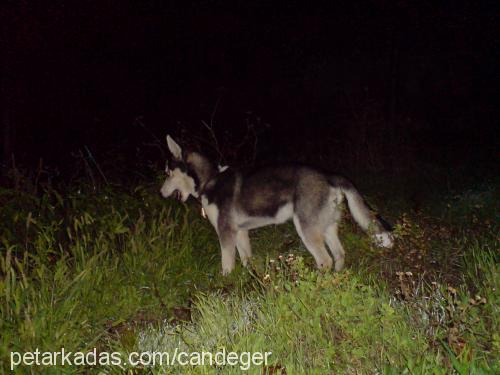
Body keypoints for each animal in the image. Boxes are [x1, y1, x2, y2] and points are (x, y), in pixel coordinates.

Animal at [160, 136, 394, 276]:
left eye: (168, 173)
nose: (160, 193)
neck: (211, 179)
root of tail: (329, 175)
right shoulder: (240, 232)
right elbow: (247, 261)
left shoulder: (226, 233)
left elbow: (226, 266)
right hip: (327, 228)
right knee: (339, 254)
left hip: (307, 230)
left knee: (325, 260)